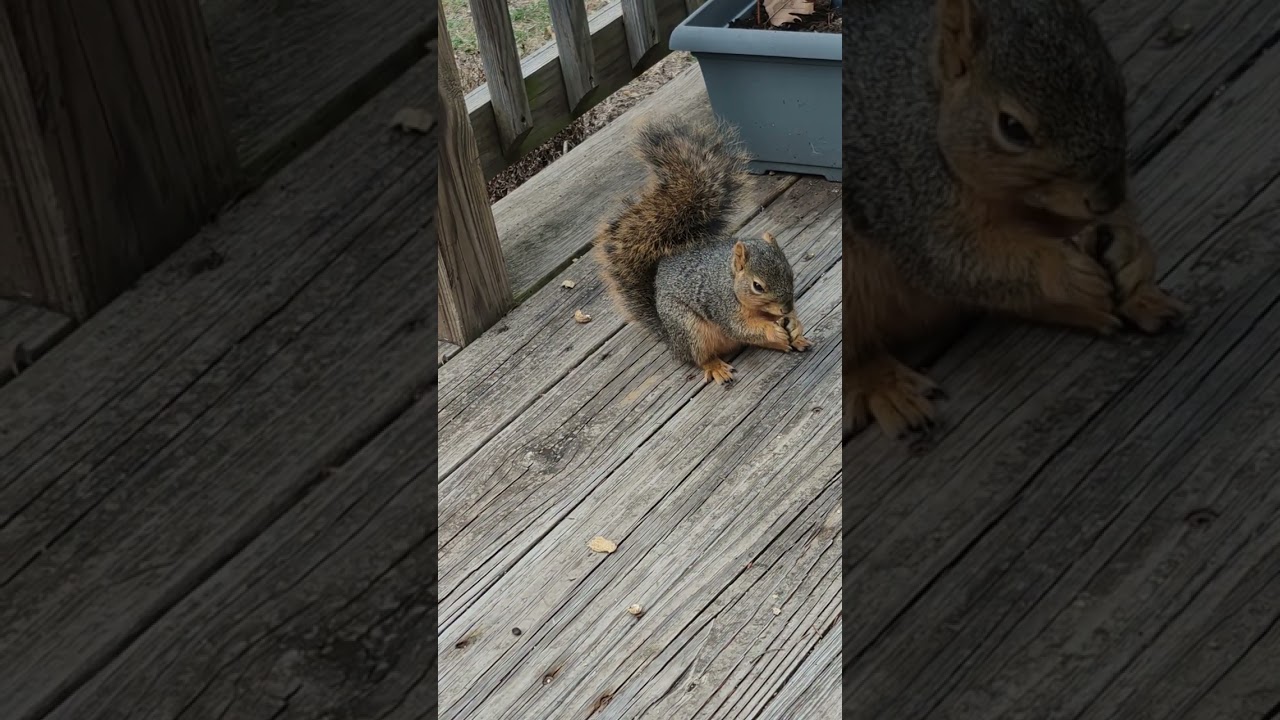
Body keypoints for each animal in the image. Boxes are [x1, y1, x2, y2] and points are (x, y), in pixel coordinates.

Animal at [594, 117, 812, 385]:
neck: (730, 282)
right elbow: (742, 327)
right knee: (701, 357)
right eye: (757, 286)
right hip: (690, 329)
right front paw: (773, 329)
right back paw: (717, 366)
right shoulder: (722, 306)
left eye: (790, 272)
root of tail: (672, 341)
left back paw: (792, 342)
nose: (786, 308)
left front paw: (795, 324)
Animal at [843, 0, 1188, 440]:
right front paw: (1065, 272)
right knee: (856, 352)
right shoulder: (905, 196)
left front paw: (1132, 250)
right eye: (1012, 128)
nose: (1107, 197)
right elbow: (955, 261)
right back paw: (883, 384)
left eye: (1118, 88)